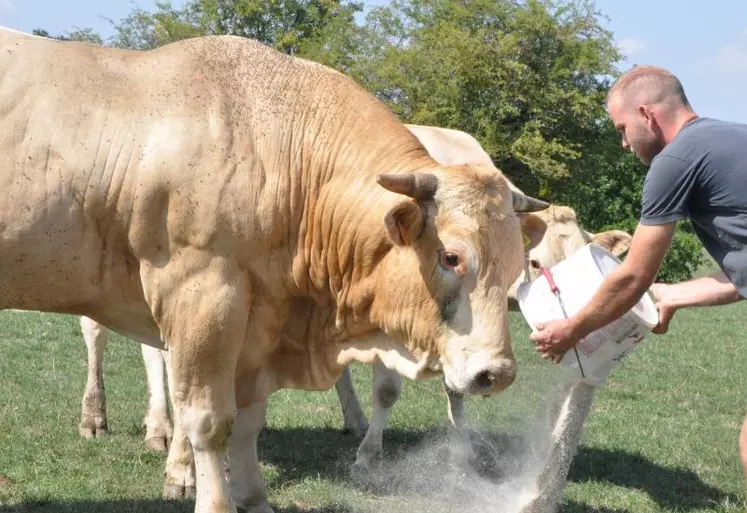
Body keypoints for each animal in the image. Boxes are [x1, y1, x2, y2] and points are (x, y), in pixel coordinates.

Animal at [1, 30, 548, 510]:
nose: (496, 373)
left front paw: (251, 494)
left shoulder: (260, 319)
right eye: (452, 256)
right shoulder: (200, 291)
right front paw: (201, 487)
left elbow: (247, 421)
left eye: (518, 266)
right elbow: (207, 419)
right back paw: (104, 420)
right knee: (102, 337)